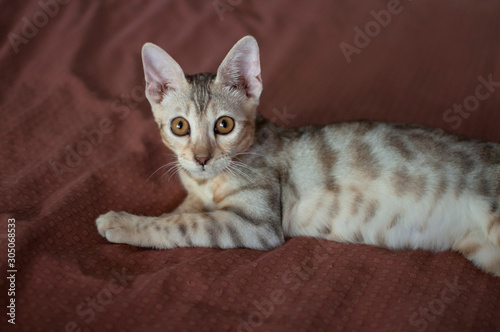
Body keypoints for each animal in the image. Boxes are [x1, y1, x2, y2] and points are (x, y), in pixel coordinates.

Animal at [96, 35, 500, 276]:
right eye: (180, 126)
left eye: (224, 125)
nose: (201, 159)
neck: (208, 182)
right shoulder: (199, 195)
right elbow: (180, 212)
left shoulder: (257, 226)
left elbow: (183, 224)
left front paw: (123, 223)